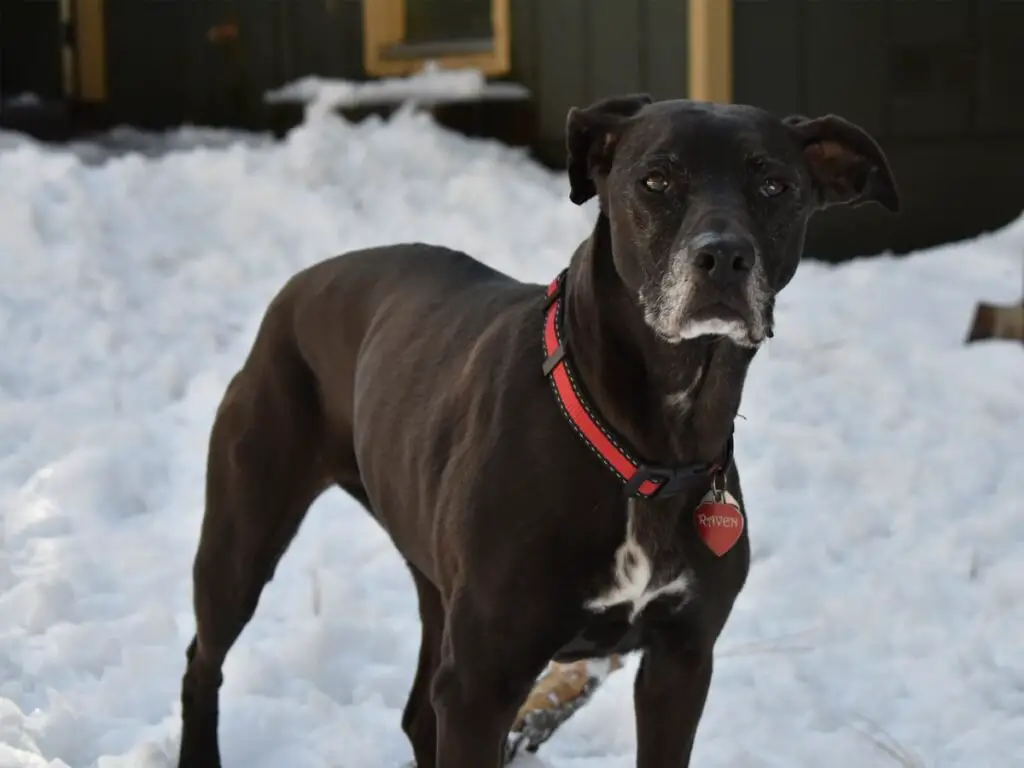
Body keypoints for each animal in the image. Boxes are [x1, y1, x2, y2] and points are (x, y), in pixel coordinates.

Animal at [176, 93, 897, 765]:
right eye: (656, 179)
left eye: (775, 185)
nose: (723, 257)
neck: (649, 443)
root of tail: (299, 284)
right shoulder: (482, 682)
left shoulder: (681, 661)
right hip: (243, 535)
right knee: (201, 663)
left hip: (432, 577)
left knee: (416, 713)